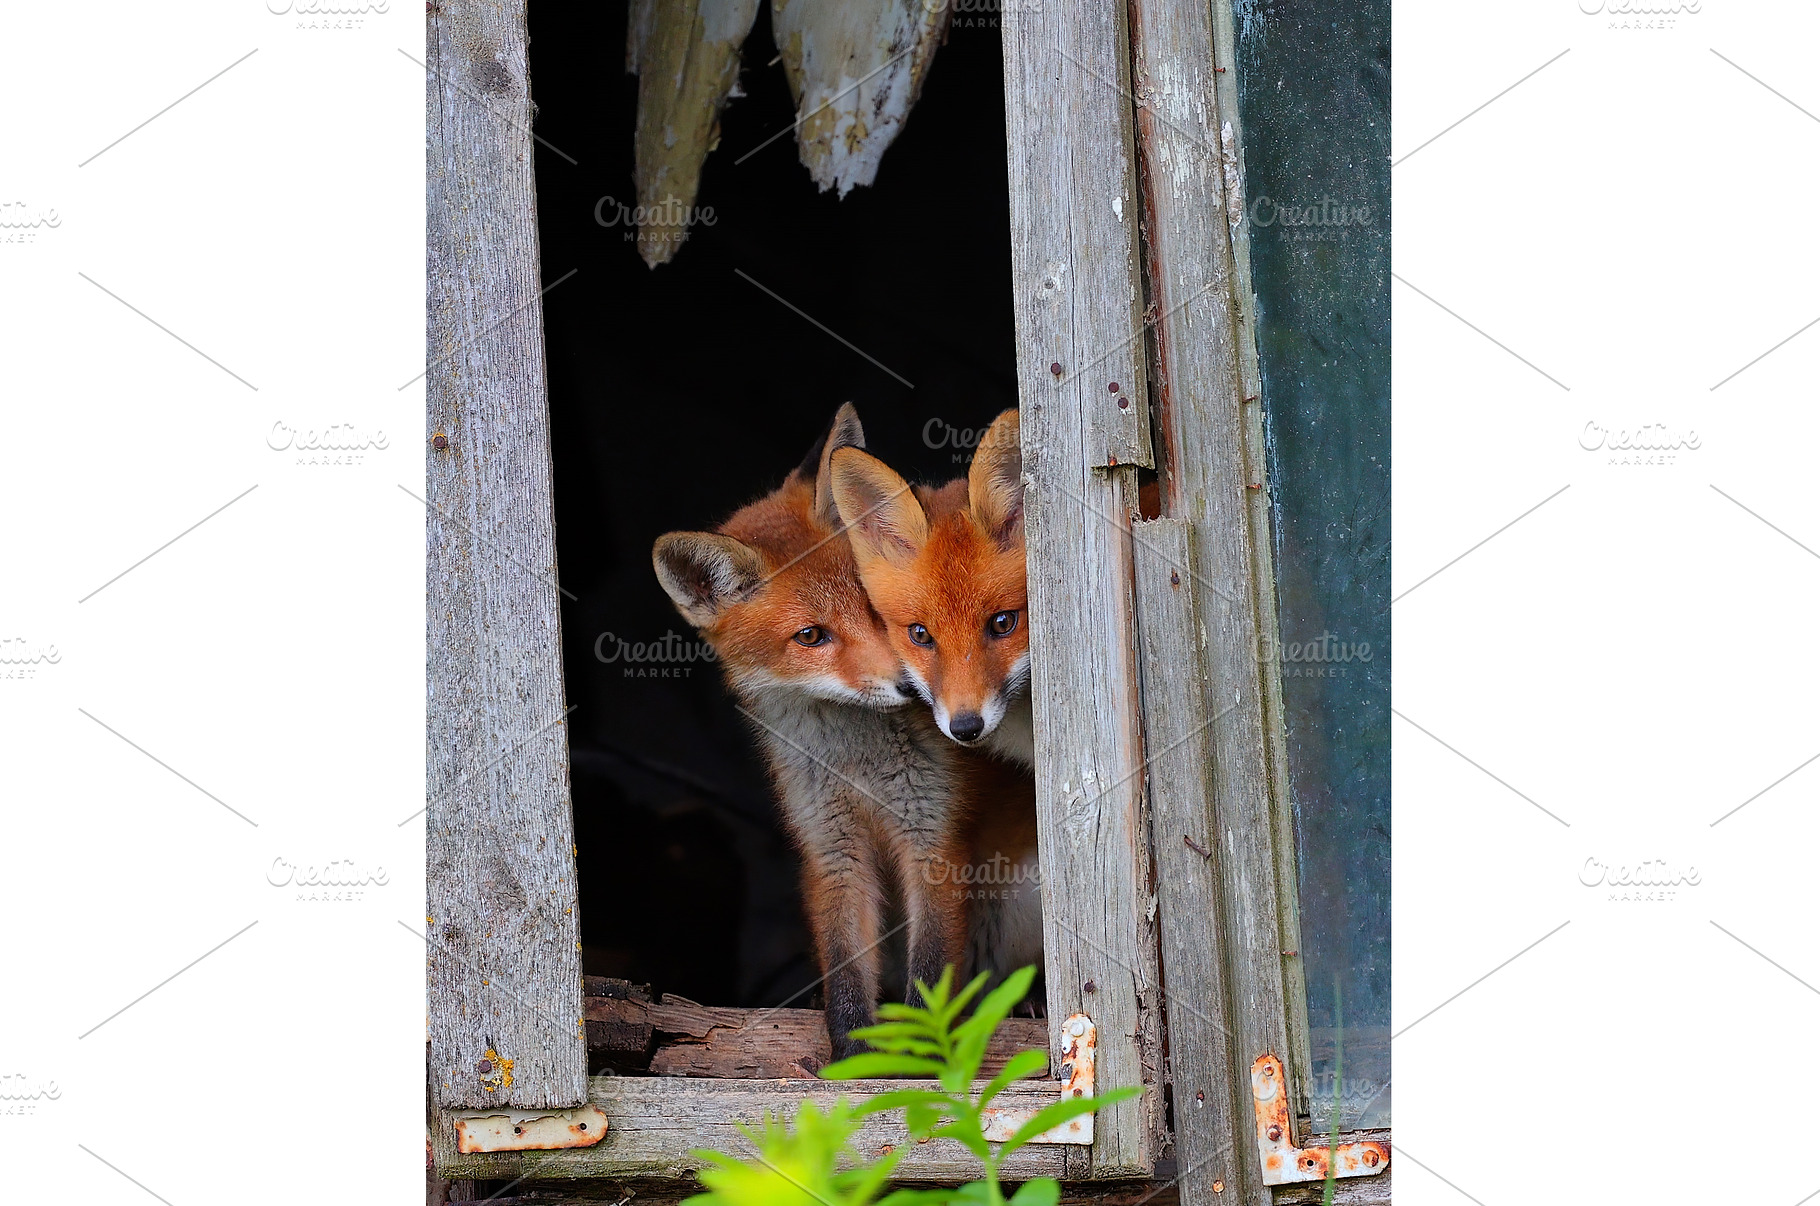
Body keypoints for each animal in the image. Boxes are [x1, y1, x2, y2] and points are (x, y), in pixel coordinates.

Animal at [652, 404, 1031, 1055]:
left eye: (875, 608)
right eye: (812, 636)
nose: (907, 687)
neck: (858, 764)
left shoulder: (933, 833)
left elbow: (930, 968)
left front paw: (922, 1059)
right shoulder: (830, 845)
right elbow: (847, 972)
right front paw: (852, 1059)